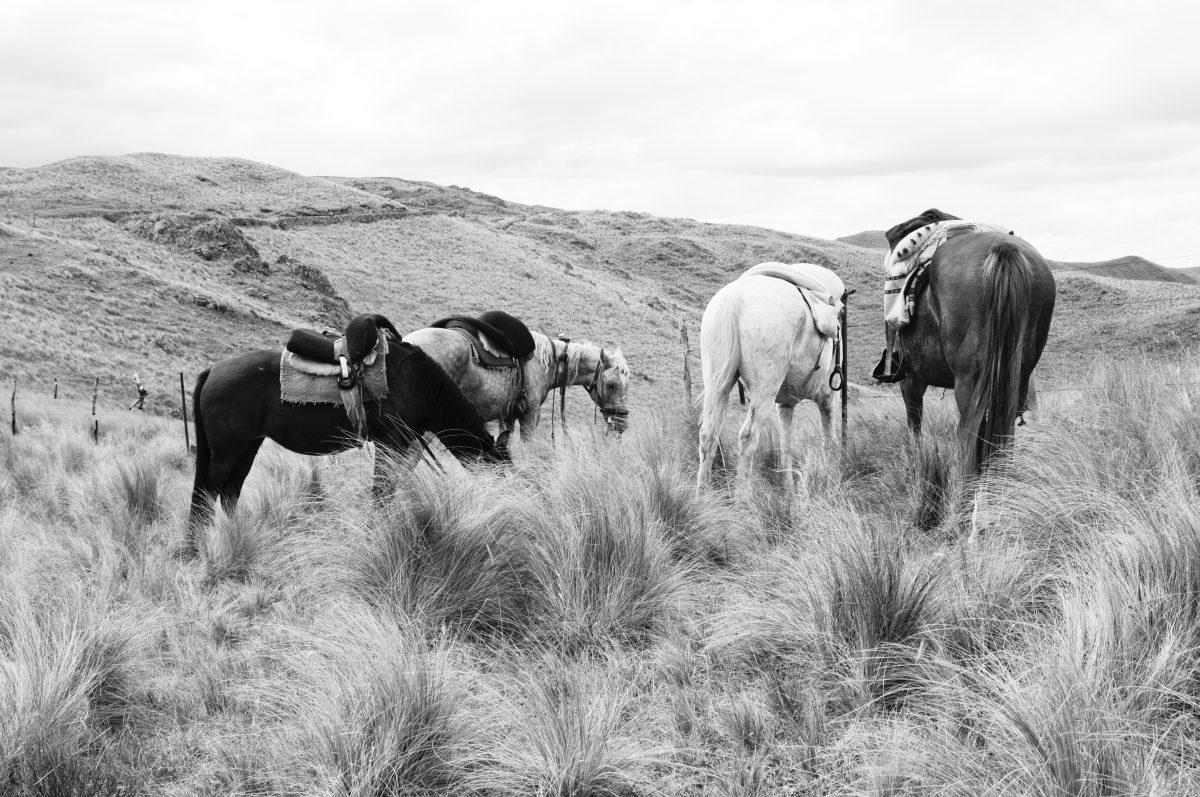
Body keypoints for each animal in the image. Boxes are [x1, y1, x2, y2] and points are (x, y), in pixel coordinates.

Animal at [186, 335, 509, 551]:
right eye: (501, 471)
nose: (506, 504)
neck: (421, 386)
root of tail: (213, 371)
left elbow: (387, 492)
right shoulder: (389, 445)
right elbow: (380, 493)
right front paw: (373, 535)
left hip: (247, 447)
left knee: (229, 492)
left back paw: (235, 536)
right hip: (227, 451)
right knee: (207, 492)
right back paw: (200, 545)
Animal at [696, 263, 845, 497]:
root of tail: (735, 297)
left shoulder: (785, 404)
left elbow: (786, 446)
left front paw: (788, 490)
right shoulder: (829, 398)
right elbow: (829, 440)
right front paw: (831, 483)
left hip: (717, 387)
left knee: (708, 435)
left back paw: (701, 496)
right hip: (764, 390)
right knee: (748, 436)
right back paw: (743, 497)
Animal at [890, 225, 1056, 478]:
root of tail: (1002, 248)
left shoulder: (910, 381)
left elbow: (914, 427)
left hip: (968, 382)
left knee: (969, 432)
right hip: (1014, 378)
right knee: (999, 431)